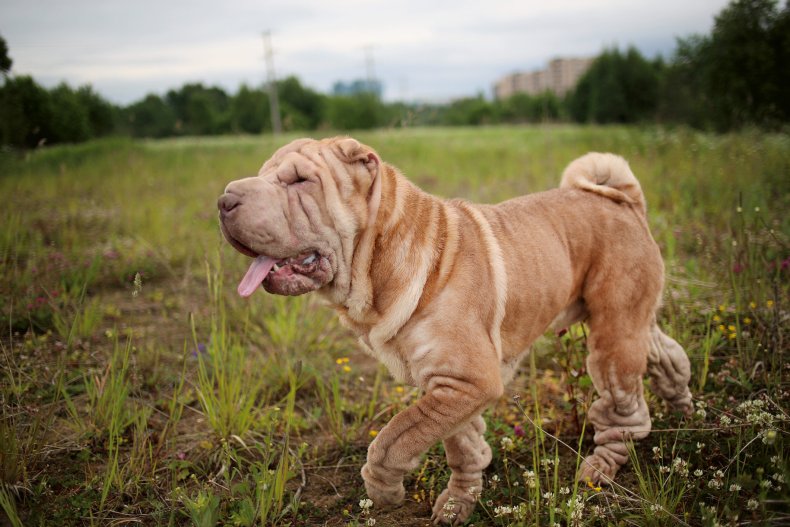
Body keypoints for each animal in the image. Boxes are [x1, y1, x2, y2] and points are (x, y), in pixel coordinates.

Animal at [217, 138, 692, 524]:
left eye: (299, 180)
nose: (224, 199)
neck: (381, 259)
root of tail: (623, 200)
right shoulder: (450, 388)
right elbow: (460, 446)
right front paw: (457, 503)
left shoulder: (467, 381)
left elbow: (392, 440)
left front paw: (384, 491)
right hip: (630, 320)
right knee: (667, 354)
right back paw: (684, 406)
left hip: (611, 338)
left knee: (622, 410)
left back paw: (600, 468)